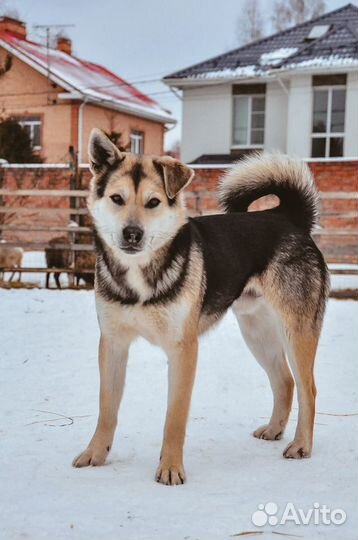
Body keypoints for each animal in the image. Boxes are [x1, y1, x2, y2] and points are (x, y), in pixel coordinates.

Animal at [72, 130, 330, 486]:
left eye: (153, 202)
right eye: (117, 199)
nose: (132, 233)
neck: (140, 273)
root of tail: (288, 218)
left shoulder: (184, 349)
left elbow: (175, 417)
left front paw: (170, 468)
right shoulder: (112, 344)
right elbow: (106, 408)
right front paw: (95, 454)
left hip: (297, 331)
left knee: (309, 390)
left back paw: (301, 445)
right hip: (256, 332)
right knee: (285, 382)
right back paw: (274, 430)